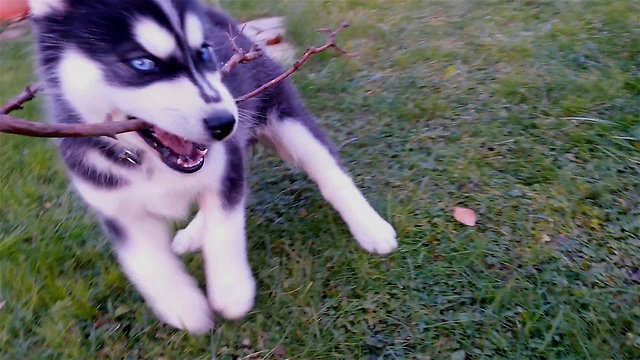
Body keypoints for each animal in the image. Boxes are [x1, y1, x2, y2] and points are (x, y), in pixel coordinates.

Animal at [30, 0, 398, 334]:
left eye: (204, 52)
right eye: (142, 62)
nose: (225, 123)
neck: (149, 163)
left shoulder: (226, 163)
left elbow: (225, 228)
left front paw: (231, 289)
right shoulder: (115, 205)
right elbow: (145, 261)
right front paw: (182, 306)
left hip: (285, 117)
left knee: (330, 173)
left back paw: (370, 226)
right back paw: (193, 235)